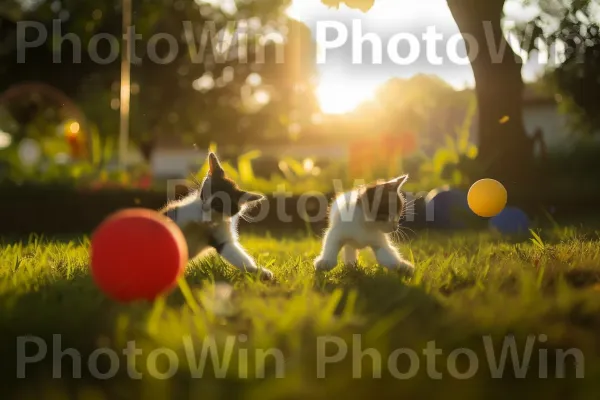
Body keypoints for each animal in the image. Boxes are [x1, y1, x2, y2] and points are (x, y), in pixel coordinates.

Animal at [159, 152, 272, 280]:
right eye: (207, 192)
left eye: (218, 203)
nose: (205, 206)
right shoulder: (181, 212)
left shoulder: (223, 238)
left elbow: (235, 254)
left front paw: (258, 271)